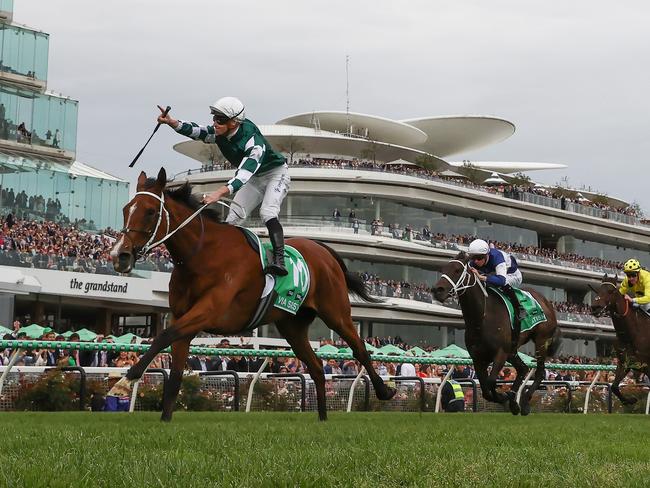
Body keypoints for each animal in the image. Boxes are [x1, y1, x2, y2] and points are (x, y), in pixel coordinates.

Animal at [106, 168, 394, 420]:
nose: (120, 255)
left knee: (360, 349)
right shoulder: (182, 317)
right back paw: (322, 419)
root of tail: (324, 250)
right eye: (125, 210)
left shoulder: (207, 312)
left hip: (336, 313)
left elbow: (162, 336)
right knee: (316, 369)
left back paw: (384, 390)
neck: (202, 254)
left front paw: (124, 381)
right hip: (292, 327)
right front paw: (164, 419)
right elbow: (175, 370)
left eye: (150, 212)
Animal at [430, 252, 560, 416]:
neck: (482, 318)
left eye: (457, 270)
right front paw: (506, 398)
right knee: (523, 368)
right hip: (512, 349)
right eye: (443, 269)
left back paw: (524, 402)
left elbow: (491, 381)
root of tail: (546, 302)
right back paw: (514, 402)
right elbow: (485, 390)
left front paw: (504, 397)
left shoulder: (500, 353)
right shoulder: (478, 358)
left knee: (540, 372)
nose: (437, 290)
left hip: (541, 340)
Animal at [588, 276, 648, 406]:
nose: (595, 307)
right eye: (599, 290)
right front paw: (630, 400)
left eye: (612, 291)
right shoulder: (624, 362)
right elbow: (614, 387)